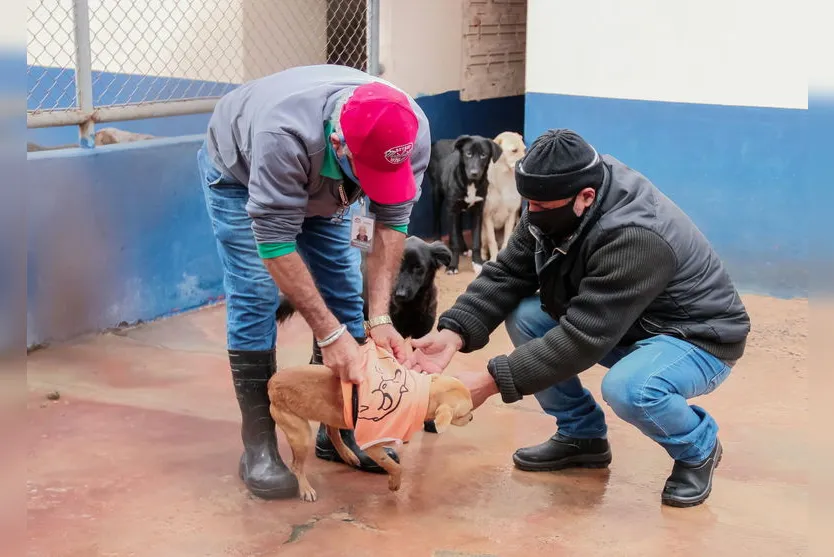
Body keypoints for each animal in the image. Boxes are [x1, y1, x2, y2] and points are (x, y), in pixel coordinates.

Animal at [268, 364, 472, 500]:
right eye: (465, 414)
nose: (471, 418)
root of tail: (271, 381)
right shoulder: (372, 447)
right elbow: (395, 466)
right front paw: (394, 483)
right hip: (300, 435)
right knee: (296, 466)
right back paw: (305, 489)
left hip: (334, 416)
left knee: (332, 432)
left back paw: (348, 455)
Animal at [428, 135, 500, 274]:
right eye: (468, 154)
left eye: (483, 155)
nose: (474, 173)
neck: (471, 183)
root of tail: (437, 142)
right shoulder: (452, 208)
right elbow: (454, 239)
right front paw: (452, 265)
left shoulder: (478, 211)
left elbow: (476, 240)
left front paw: (477, 262)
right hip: (436, 193)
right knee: (437, 219)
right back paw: (438, 241)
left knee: (458, 227)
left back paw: (464, 248)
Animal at [478, 131, 524, 264]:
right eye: (514, 150)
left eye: (524, 149)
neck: (505, 179)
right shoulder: (487, 216)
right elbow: (491, 242)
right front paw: (493, 259)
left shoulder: (512, 215)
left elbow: (506, 242)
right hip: (483, 234)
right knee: (484, 246)